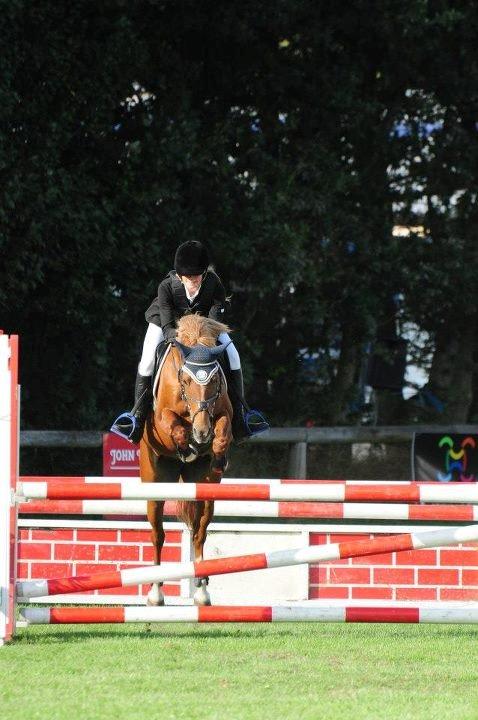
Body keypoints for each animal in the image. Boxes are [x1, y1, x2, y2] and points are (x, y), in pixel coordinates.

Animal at [139, 314, 233, 606]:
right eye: (185, 380)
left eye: (215, 381)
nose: (202, 433)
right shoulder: (162, 418)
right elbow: (174, 426)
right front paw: (186, 446)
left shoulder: (224, 413)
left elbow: (223, 431)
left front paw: (217, 454)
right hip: (154, 485)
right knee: (157, 534)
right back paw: (156, 593)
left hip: (205, 490)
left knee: (199, 531)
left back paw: (202, 590)